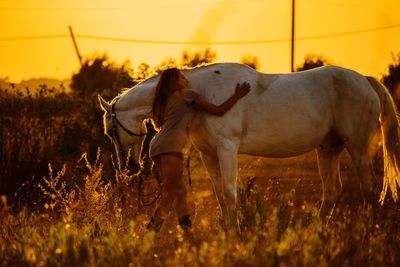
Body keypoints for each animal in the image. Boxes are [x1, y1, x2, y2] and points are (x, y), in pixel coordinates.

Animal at [98, 63, 400, 226]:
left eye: (110, 130)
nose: (128, 168)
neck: (200, 94)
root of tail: (365, 81)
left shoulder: (226, 149)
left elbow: (230, 192)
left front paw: (236, 232)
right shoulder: (209, 154)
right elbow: (220, 194)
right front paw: (226, 230)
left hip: (358, 148)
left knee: (370, 190)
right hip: (328, 149)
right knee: (332, 192)